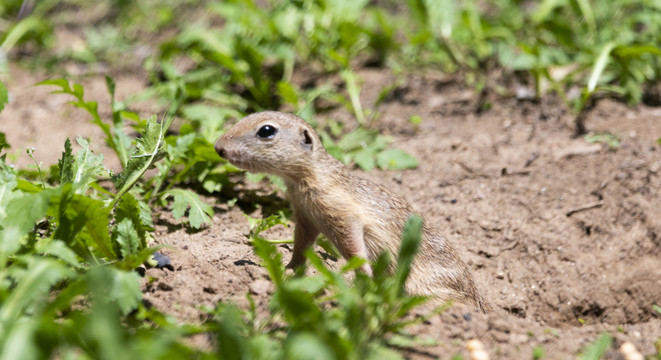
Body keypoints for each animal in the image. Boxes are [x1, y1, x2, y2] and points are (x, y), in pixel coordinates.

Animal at [214, 111, 488, 310]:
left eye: (266, 130)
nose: (217, 147)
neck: (307, 179)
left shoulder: (343, 214)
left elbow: (355, 248)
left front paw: (363, 280)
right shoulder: (306, 217)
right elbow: (302, 244)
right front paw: (291, 269)